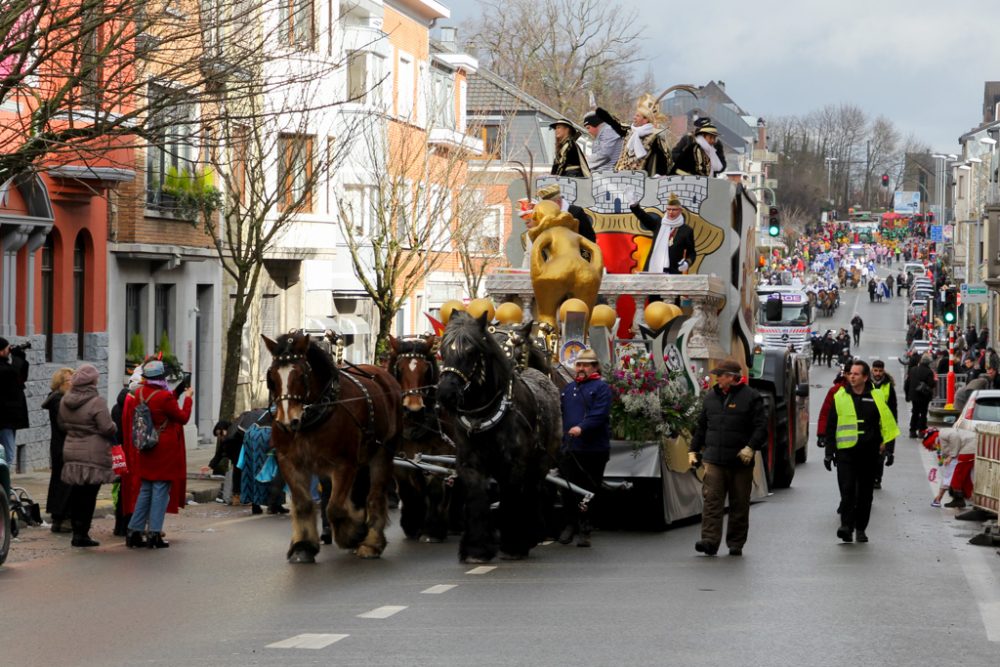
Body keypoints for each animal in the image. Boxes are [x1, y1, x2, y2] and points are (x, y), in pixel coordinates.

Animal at [262, 332, 402, 560]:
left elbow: (334, 507)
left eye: (301, 376)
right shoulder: (289, 462)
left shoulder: (345, 464)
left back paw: (371, 543)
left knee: (375, 496)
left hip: (383, 453)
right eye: (272, 377)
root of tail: (385, 376)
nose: (286, 423)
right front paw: (303, 546)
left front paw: (354, 533)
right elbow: (303, 503)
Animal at [438, 314, 564, 564]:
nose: (446, 393)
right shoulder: (470, 464)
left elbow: (511, 498)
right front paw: (476, 550)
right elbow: (477, 498)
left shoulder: (513, 465)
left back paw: (531, 534)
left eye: (472, 351)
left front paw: (513, 545)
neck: (484, 416)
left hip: (542, 462)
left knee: (533, 490)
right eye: (443, 349)